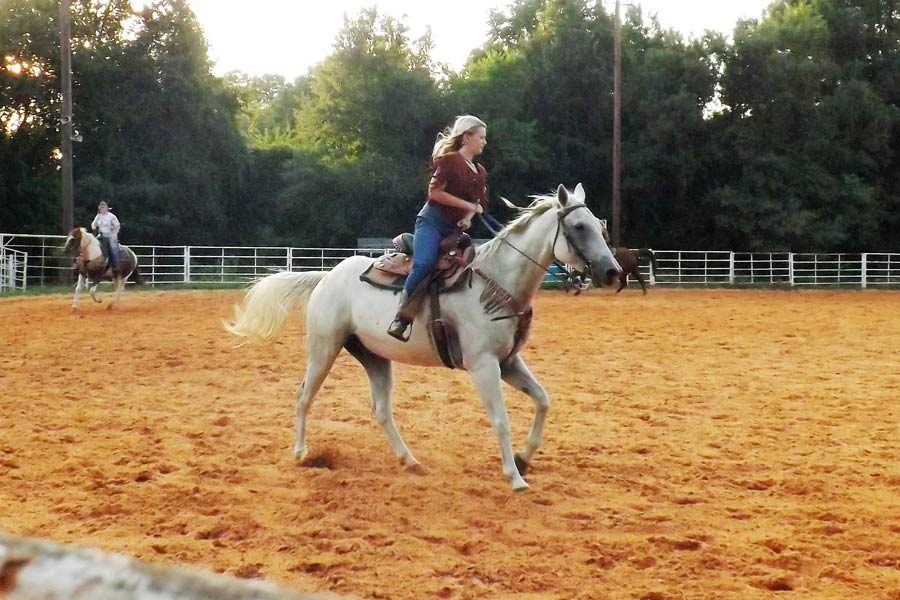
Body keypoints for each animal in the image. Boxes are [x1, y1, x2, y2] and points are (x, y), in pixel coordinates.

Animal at [227, 184, 620, 492]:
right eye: (579, 226)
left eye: (600, 227)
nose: (613, 272)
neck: (493, 282)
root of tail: (326, 276)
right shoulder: (483, 366)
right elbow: (501, 420)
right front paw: (515, 477)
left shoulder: (508, 362)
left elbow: (543, 401)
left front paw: (523, 459)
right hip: (323, 348)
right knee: (304, 397)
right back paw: (301, 454)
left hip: (373, 356)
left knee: (381, 410)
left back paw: (409, 461)